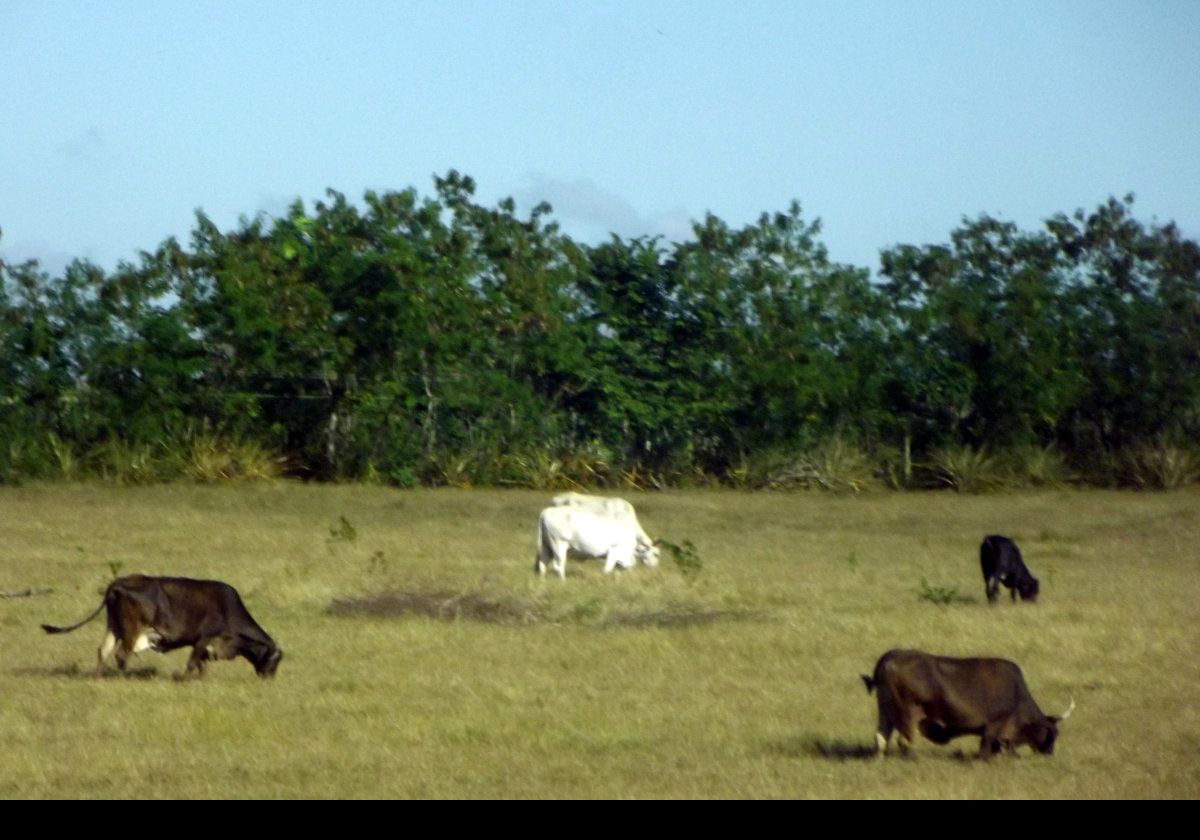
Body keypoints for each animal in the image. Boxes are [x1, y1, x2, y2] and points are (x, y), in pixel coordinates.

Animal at [41, 573, 280, 681]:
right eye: (275, 660)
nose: (269, 679)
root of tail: (117, 583)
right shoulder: (204, 637)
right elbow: (193, 662)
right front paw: (185, 679)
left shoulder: (200, 643)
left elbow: (200, 664)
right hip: (131, 631)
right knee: (121, 654)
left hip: (113, 628)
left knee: (103, 651)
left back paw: (99, 676)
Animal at [859, 648, 1075, 763]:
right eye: (1052, 734)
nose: (1050, 753)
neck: (1017, 695)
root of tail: (891, 656)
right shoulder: (993, 725)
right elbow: (986, 746)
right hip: (907, 715)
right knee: (904, 741)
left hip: (886, 714)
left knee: (881, 738)